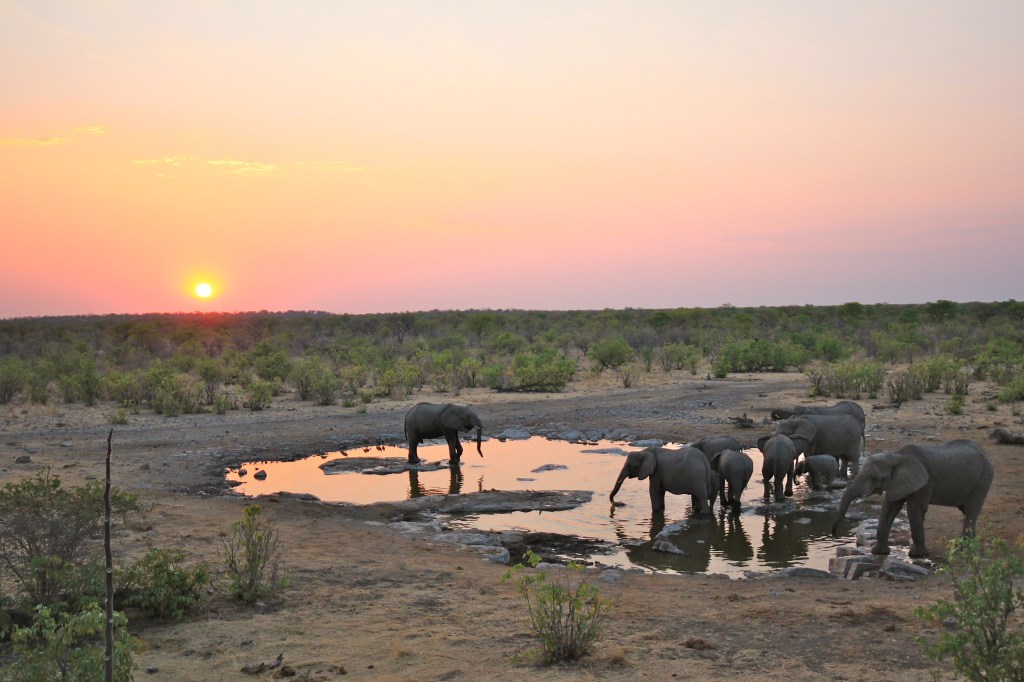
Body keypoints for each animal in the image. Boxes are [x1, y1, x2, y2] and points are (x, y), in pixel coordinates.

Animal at [832, 440, 994, 558]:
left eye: (874, 478)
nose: (834, 536)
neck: (895, 456)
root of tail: (984, 453)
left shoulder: (925, 482)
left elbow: (915, 510)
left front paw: (917, 555)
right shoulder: (897, 482)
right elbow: (889, 509)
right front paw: (879, 552)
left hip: (983, 479)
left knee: (971, 512)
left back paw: (963, 549)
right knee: (967, 512)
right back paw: (970, 544)